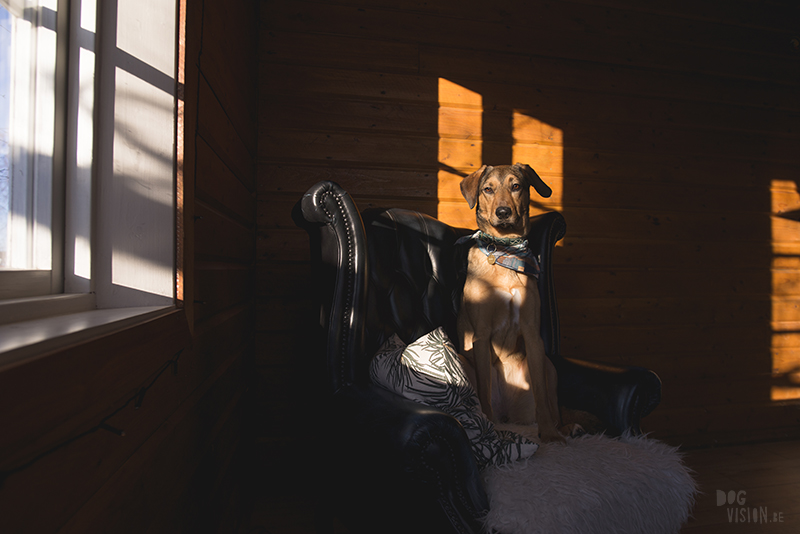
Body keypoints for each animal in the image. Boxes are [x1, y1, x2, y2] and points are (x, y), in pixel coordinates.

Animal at [456, 162, 568, 444]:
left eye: (516, 186)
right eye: (488, 189)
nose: (503, 212)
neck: (505, 250)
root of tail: (508, 414)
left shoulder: (532, 334)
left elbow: (541, 395)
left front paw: (549, 433)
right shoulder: (481, 335)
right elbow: (484, 392)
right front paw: (489, 430)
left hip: (550, 366)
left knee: (553, 406)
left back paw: (567, 428)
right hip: (464, 360)